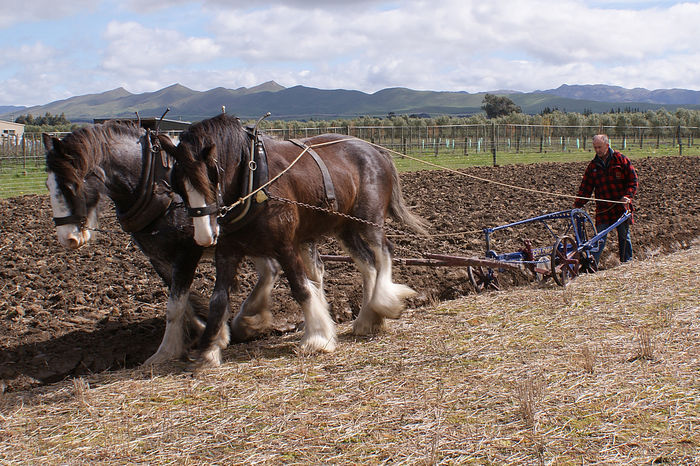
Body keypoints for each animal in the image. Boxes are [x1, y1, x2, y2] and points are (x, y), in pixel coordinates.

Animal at [44, 122, 282, 366]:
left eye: (71, 186)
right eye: (47, 185)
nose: (67, 238)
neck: (155, 187)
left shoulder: (188, 253)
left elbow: (175, 306)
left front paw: (166, 351)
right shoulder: (157, 257)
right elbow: (182, 302)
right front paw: (203, 332)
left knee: (271, 270)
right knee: (270, 270)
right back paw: (249, 320)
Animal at [163, 114, 426, 368]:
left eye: (212, 177)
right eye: (177, 184)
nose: (204, 236)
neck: (254, 179)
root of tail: (375, 149)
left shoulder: (285, 245)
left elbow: (301, 289)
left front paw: (317, 338)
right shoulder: (228, 251)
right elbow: (218, 299)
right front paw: (207, 351)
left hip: (369, 219)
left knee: (384, 251)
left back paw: (385, 303)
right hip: (345, 228)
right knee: (368, 264)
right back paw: (367, 320)